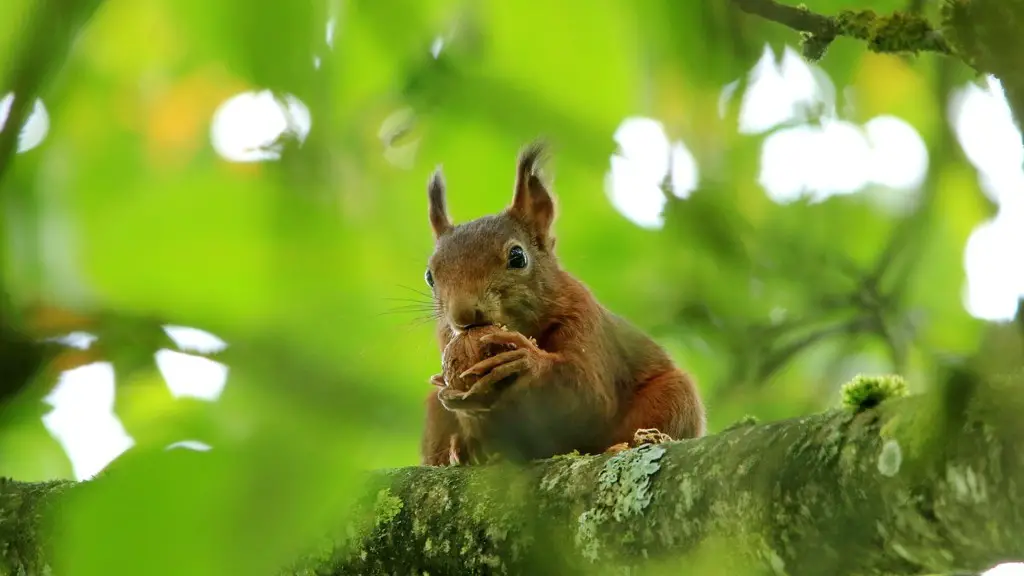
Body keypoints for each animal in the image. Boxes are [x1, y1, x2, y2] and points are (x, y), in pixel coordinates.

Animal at [415, 140, 704, 467]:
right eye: (429, 276)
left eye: (518, 257)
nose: (463, 314)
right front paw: (453, 395)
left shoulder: (585, 319)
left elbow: (588, 393)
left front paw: (525, 361)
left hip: (675, 395)